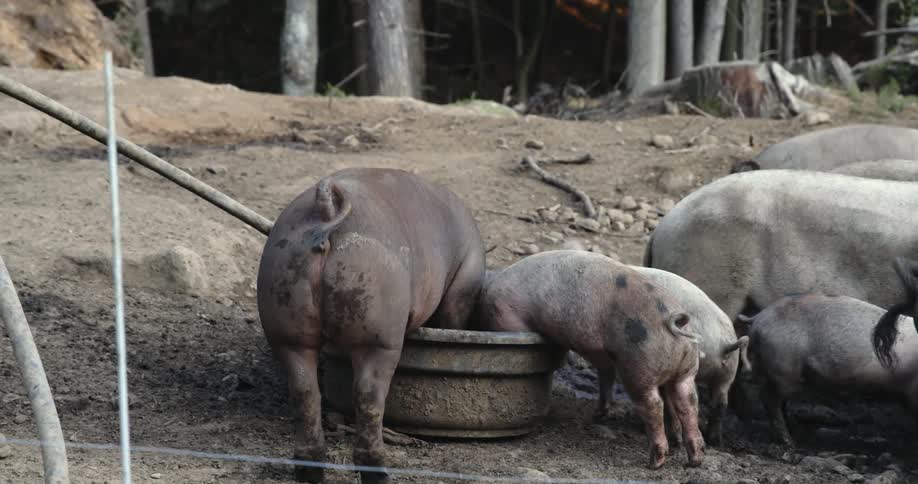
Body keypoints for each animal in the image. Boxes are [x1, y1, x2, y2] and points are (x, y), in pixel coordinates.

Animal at [257, 167, 485, 483]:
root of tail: (328, 208)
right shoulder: (461, 288)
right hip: (378, 333)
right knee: (368, 395)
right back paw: (379, 473)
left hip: (285, 318)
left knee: (304, 390)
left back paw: (310, 471)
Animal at [475, 250, 705, 469]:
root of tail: (673, 321)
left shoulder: (506, 317)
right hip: (686, 370)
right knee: (689, 402)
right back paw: (694, 460)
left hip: (639, 366)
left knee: (653, 404)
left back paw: (654, 463)